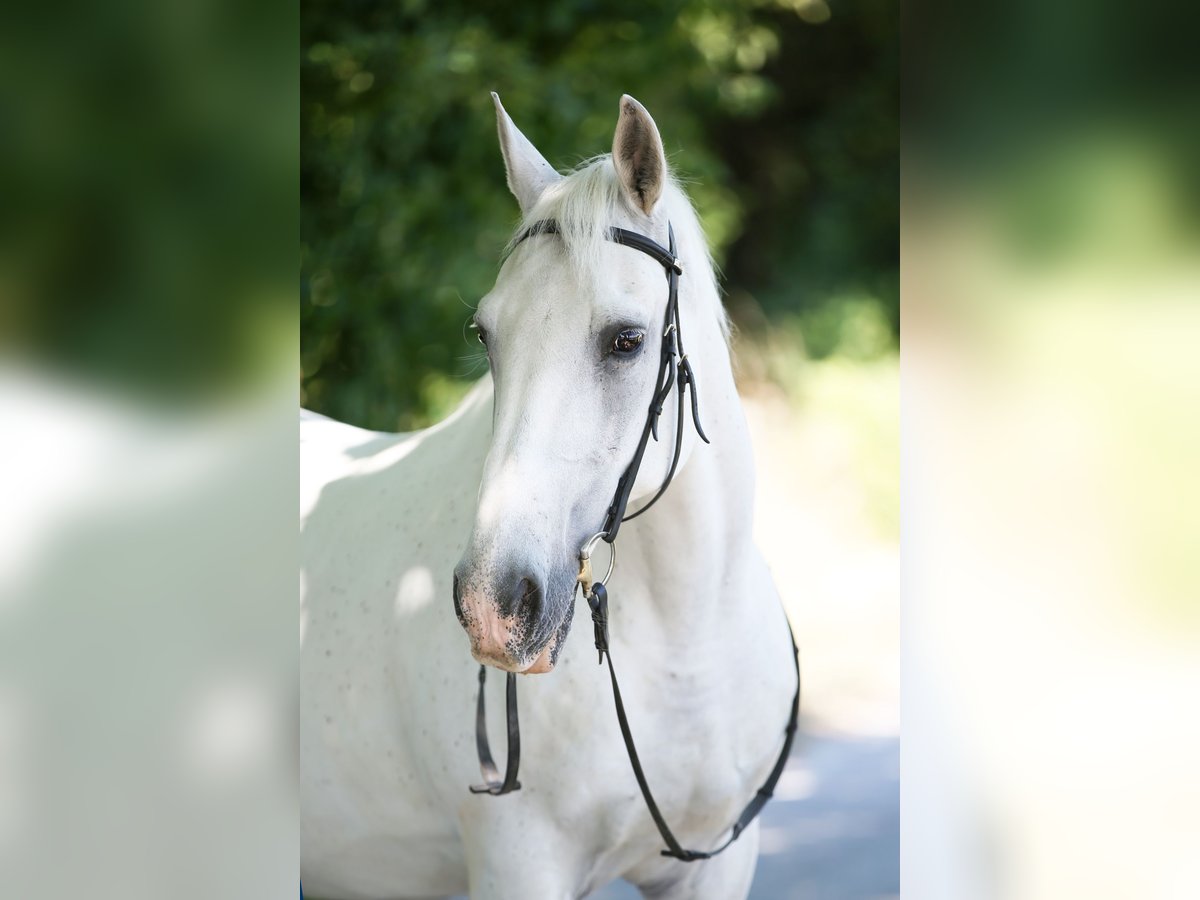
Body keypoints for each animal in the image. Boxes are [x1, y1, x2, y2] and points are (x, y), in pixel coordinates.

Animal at [302, 95, 796, 897]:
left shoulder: (717, 862)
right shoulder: (520, 864)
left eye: (627, 340)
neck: (683, 650)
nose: (493, 603)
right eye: (484, 334)